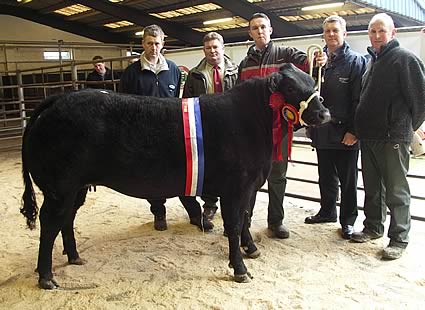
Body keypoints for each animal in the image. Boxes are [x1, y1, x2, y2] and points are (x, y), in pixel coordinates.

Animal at [20, 63, 328, 288]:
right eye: (291, 86)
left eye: (312, 82)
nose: (324, 113)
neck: (250, 122)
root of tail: (59, 99)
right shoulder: (236, 187)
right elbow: (234, 224)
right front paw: (239, 268)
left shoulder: (250, 186)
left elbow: (245, 220)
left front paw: (250, 248)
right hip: (59, 188)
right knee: (50, 224)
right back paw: (46, 277)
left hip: (76, 187)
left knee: (67, 220)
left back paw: (74, 257)